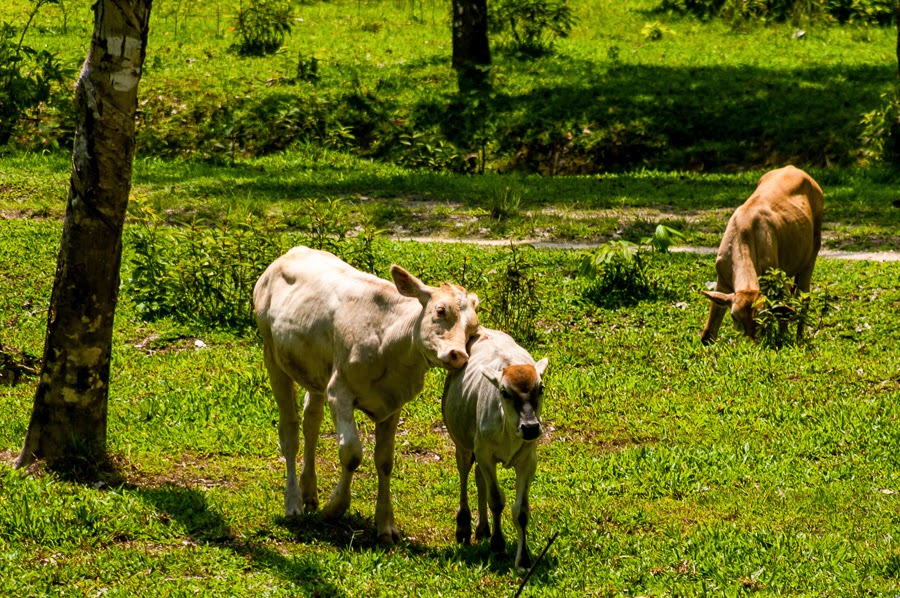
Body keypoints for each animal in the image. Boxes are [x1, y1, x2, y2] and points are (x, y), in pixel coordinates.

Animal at [253, 246, 478, 548]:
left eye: (473, 327)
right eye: (440, 310)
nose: (458, 355)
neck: (390, 340)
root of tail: (290, 253)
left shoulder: (393, 404)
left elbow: (385, 461)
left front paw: (386, 525)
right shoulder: (339, 392)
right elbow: (351, 453)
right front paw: (334, 508)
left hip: (315, 371)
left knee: (311, 422)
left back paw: (309, 492)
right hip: (273, 357)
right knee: (289, 430)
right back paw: (294, 504)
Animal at [442, 328, 548, 576]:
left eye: (540, 388)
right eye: (504, 392)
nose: (530, 427)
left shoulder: (527, 461)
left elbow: (521, 510)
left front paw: (523, 560)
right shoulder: (485, 454)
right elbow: (497, 500)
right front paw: (498, 546)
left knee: (479, 478)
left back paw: (482, 528)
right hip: (463, 444)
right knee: (464, 474)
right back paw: (464, 527)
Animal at [700, 166, 828, 344]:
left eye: (761, 316)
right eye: (734, 316)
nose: (750, 342)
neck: (743, 234)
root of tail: (794, 168)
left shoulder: (776, 278)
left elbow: (782, 318)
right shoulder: (722, 279)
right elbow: (708, 333)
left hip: (812, 253)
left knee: (803, 298)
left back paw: (799, 338)